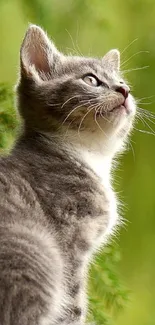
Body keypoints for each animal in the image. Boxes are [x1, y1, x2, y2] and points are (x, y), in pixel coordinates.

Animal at [0, 25, 136, 324]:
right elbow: (73, 304)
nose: (125, 90)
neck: (90, 156)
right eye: (91, 80)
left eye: (122, 81)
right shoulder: (69, 243)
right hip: (37, 250)